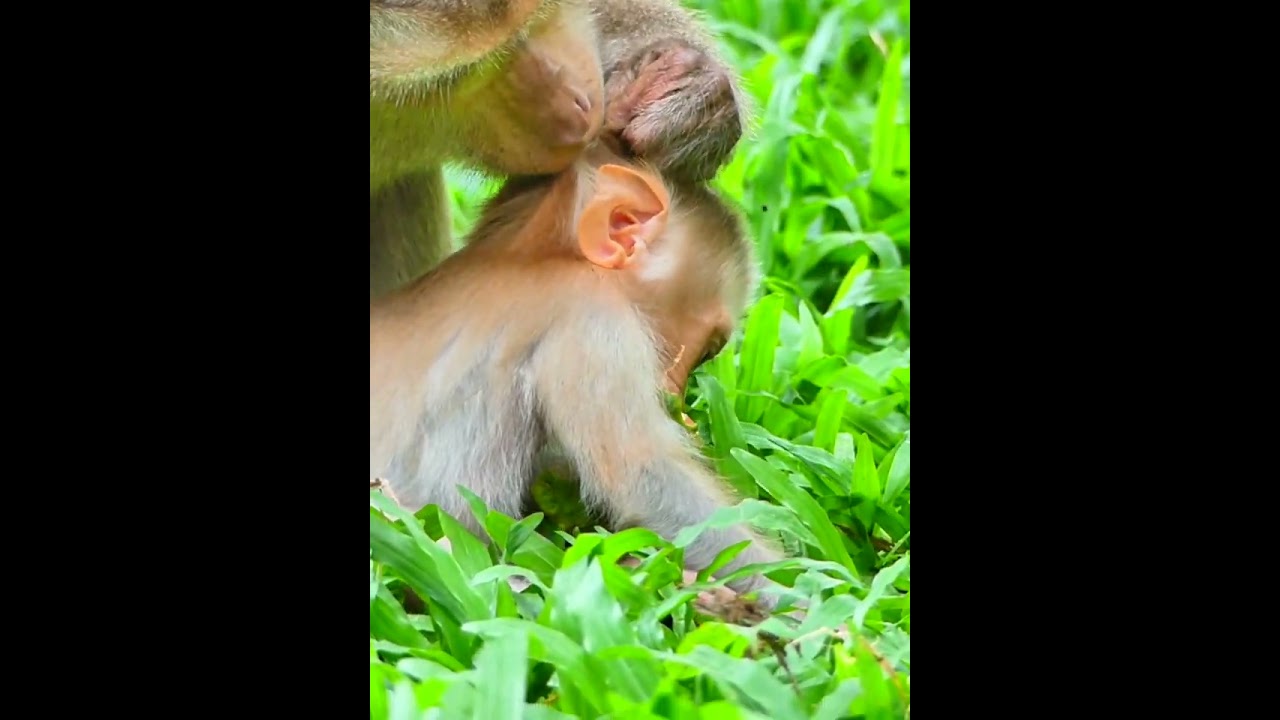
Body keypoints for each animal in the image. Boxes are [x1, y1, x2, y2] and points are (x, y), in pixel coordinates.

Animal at [369, 141, 789, 608]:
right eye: (708, 349)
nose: (675, 392)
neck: (535, 256)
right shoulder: (595, 322)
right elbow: (643, 476)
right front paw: (795, 596)